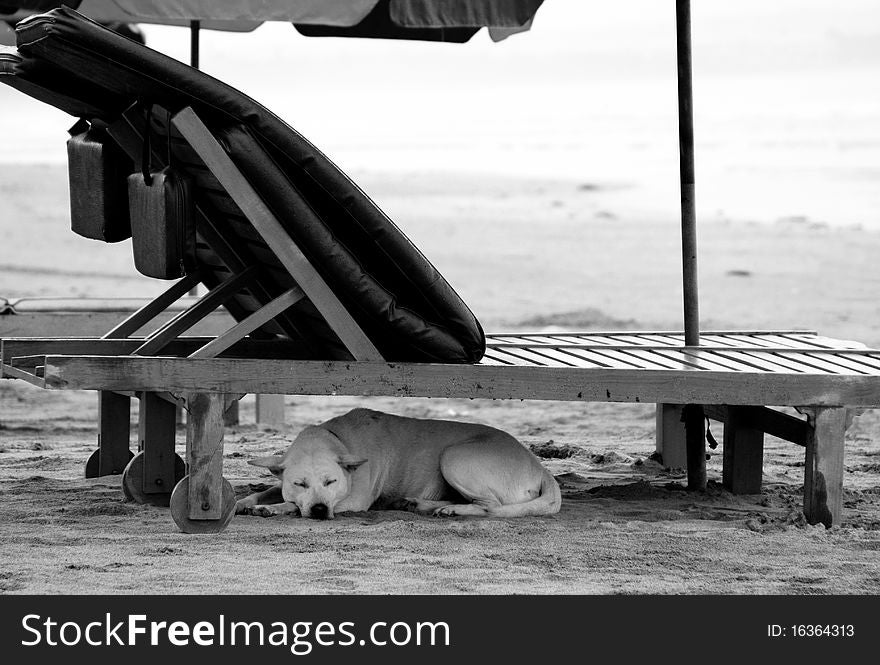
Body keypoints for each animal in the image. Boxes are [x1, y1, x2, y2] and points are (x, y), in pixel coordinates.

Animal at [235, 408, 564, 520]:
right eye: (299, 483)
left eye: (331, 482)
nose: (318, 511)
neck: (338, 439)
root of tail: (541, 468)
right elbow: (265, 491)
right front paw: (244, 502)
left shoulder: (352, 502)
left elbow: (289, 504)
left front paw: (275, 508)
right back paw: (420, 504)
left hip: (454, 457)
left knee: (490, 506)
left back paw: (451, 510)